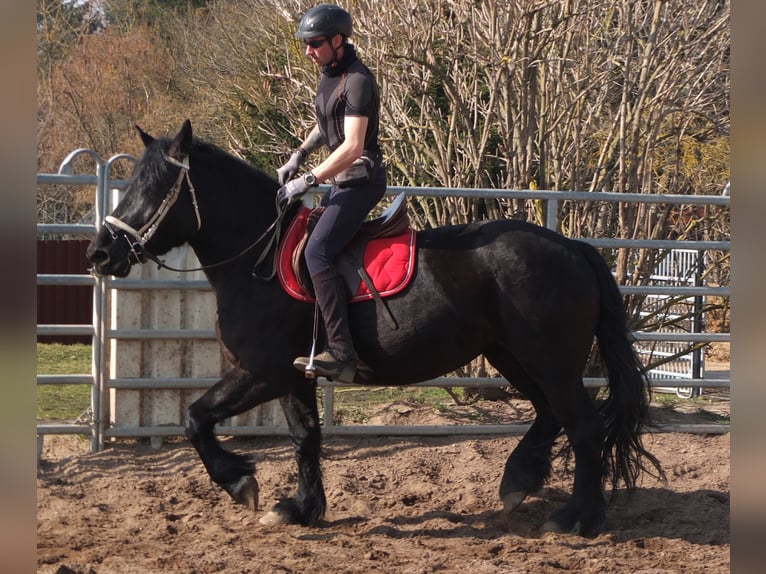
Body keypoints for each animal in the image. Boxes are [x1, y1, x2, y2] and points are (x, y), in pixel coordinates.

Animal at [87, 119, 664, 536]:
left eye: (157, 187)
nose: (100, 252)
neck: (261, 259)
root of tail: (573, 247)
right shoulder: (292, 376)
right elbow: (304, 436)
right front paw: (302, 508)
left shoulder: (262, 371)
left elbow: (195, 419)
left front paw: (240, 483)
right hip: (514, 357)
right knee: (549, 415)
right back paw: (519, 480)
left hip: (553, 363)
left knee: (582, 426)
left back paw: (577, 517)